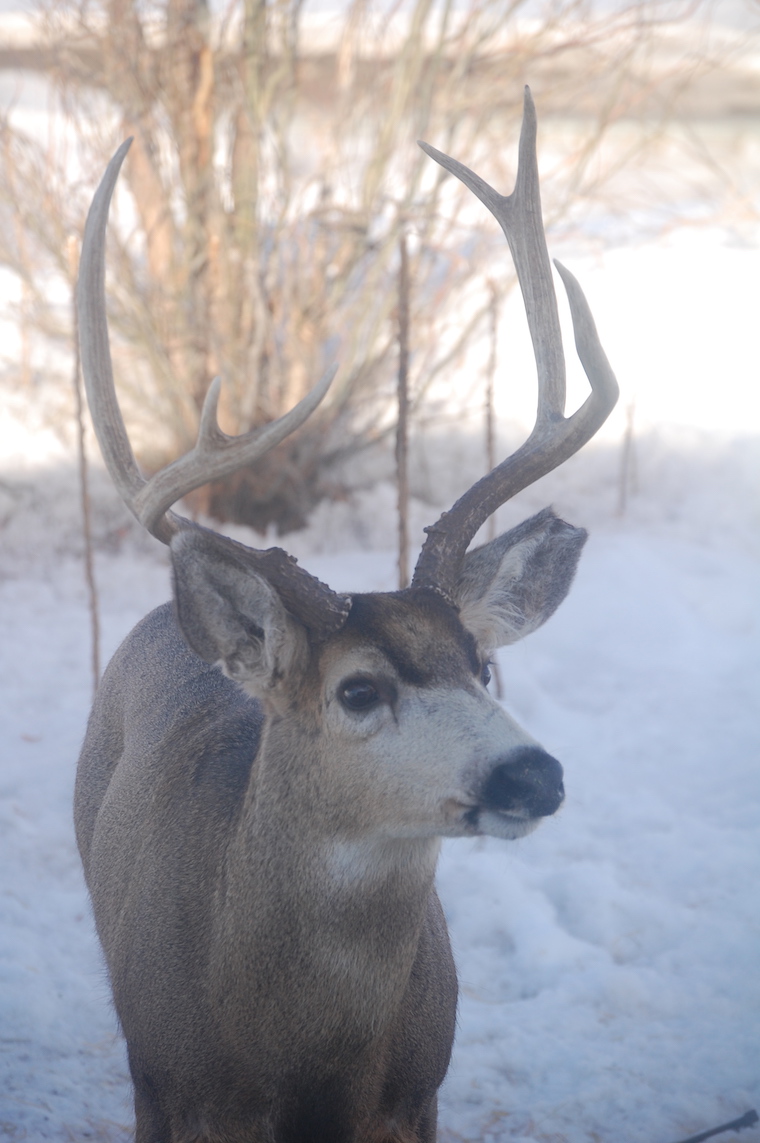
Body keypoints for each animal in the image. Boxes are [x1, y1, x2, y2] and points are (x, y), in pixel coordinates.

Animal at [74, 88, 617, 1143]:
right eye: (357, 689)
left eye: (481, 664)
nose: (534, 771)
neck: (301, 1069)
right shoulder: (174, 1085)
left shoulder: (418, 1096)